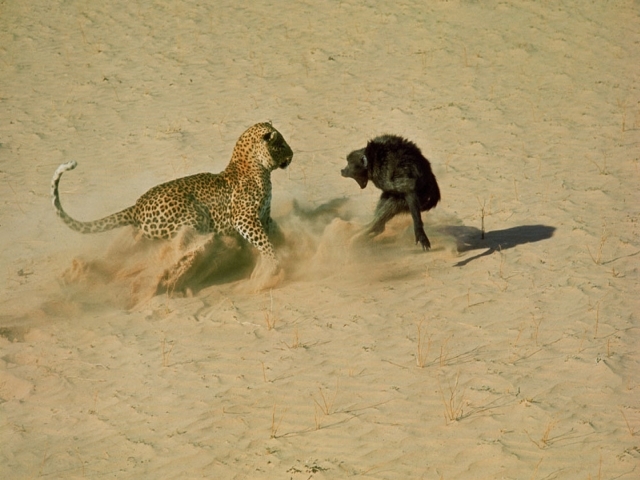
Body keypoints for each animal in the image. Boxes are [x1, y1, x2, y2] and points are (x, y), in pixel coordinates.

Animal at [51, 122, 294, 286]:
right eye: (281, 144)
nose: (292, 155)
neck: (258, 168)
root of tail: (136, 206)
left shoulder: (264, 216)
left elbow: (274, 233)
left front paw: (287, 246)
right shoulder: (244, 218)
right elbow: (263, 241)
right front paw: (273, 263)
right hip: (193, 216)